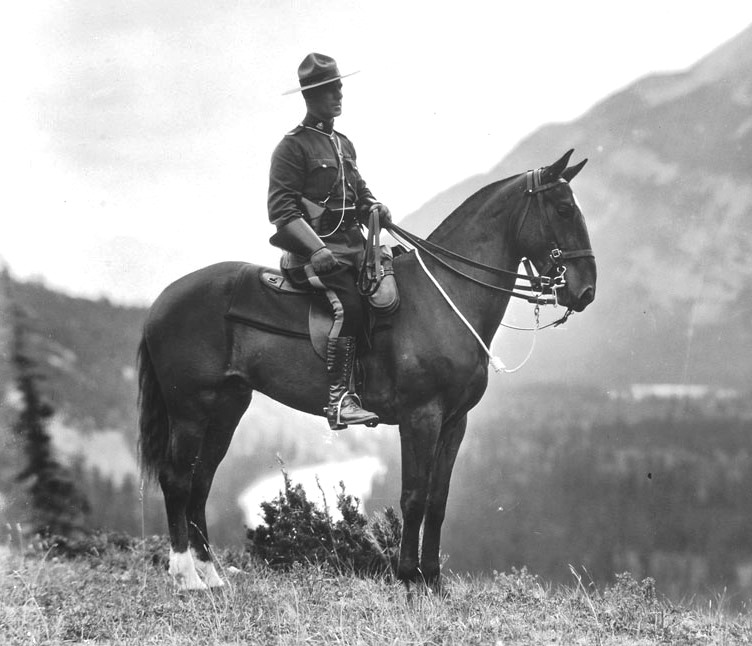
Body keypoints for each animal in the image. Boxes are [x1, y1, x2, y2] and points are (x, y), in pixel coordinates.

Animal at [137, 149, 596, 591]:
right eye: (563, 209)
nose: (586, 290)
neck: (442, 298)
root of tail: (163, 300)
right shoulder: (420, 417)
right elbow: (413, 496)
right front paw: (409, 577)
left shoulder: (454, 421)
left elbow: (438, 499)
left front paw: (433, 580)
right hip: (190, 410)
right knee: (177, 479)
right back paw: (187, 578)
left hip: (226, 408)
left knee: (201, 481)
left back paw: (211, 574)